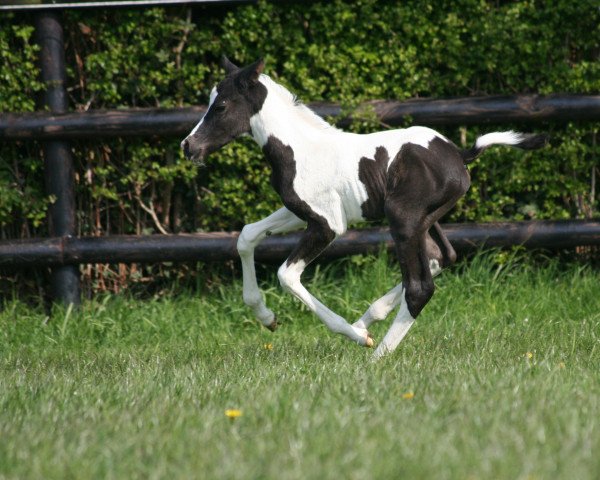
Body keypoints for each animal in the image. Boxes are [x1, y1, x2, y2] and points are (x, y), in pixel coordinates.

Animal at [180, 58, 548, 358]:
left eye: (221, 106)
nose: (188, 146)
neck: (299, 149)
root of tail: (460, 154)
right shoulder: (298, 212)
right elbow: (246, 236)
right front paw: (267, 317)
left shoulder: (327, 224)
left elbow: (287, 275)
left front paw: (354, 336)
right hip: (425, 220)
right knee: (442, 256)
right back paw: (369, 318)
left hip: (403, 219)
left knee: (421, 286)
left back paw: (376, 353)